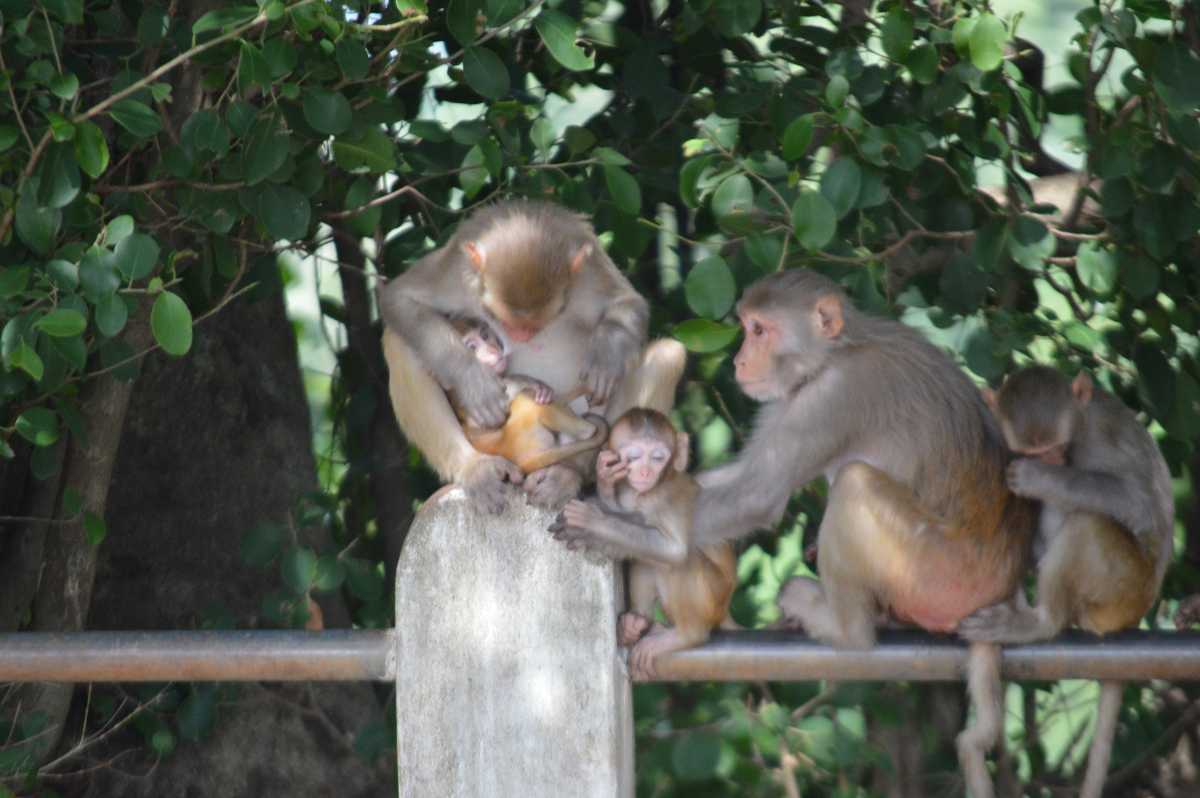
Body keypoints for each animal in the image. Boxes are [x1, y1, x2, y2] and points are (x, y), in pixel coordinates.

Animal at [453, 316, 614, 480]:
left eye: (485, 336)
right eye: (472, 347)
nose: (492, 350)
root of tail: (525, 462)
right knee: (528, 400)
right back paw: (588, 429)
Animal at [554, 410, 739, 676]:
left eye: (658, 458)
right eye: (634, 457)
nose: (644, 473)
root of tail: (725, 607)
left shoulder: (668, 497)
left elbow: (675, 550)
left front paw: (592, 525)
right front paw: (605, 483)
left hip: (712, 596)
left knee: (679, 561)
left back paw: (687, 635)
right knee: (645, 558)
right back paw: (634, 624)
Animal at [960, 364, 1176, 796]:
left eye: (1055, 447)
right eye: (1032, 449)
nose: (1052, 461)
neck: (1080, 424)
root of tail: (1132, 617)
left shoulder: (1102, 435)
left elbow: (1139, 502)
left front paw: (1041, 478)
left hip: (1122, 588)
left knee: (1087, 522)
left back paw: (1041, 622)